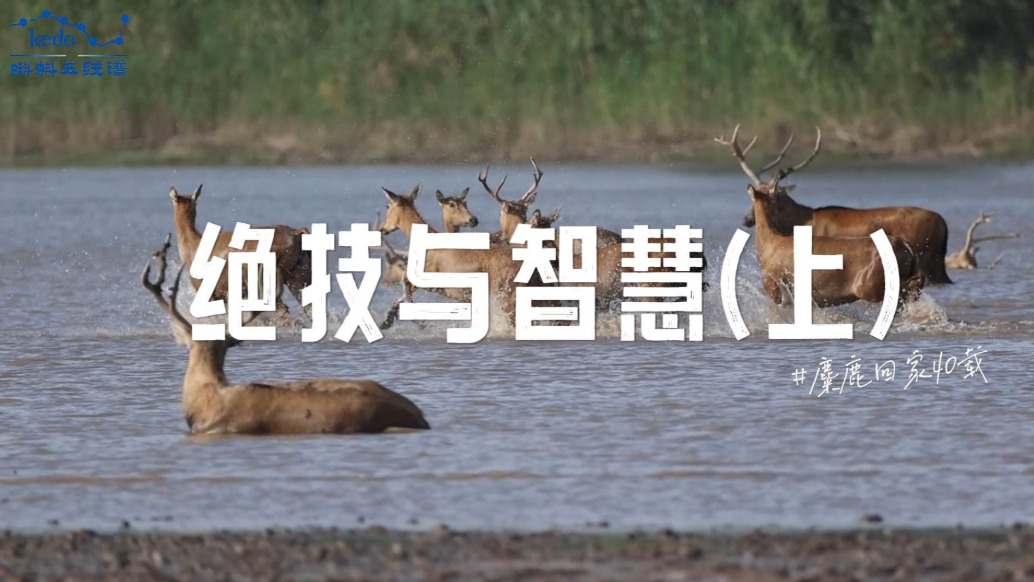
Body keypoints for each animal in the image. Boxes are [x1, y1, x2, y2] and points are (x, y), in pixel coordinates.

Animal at [716, 126, 925, 310]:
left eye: (752, 202)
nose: (746, 219)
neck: (770, 244)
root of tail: (907, 246)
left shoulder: (774, 286)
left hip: (871, 285)